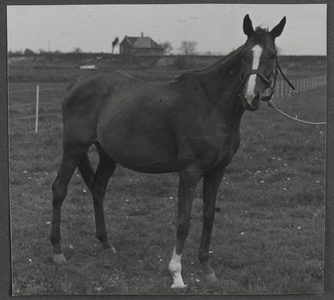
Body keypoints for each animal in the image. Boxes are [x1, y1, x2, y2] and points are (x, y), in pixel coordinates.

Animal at [51, 15, 288, 290]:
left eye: (272, 55)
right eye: (243, 55)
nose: (251, 97)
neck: (210, 104)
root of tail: (78, 83)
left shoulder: (217, 171)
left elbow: (208, 216)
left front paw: (207, 269)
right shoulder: (189, 172)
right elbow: (183, 221)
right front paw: (176, 274)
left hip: (107, 155)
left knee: (98, 189)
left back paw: (106, 244)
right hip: (73, 149)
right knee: (59, 190)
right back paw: (57, 251)